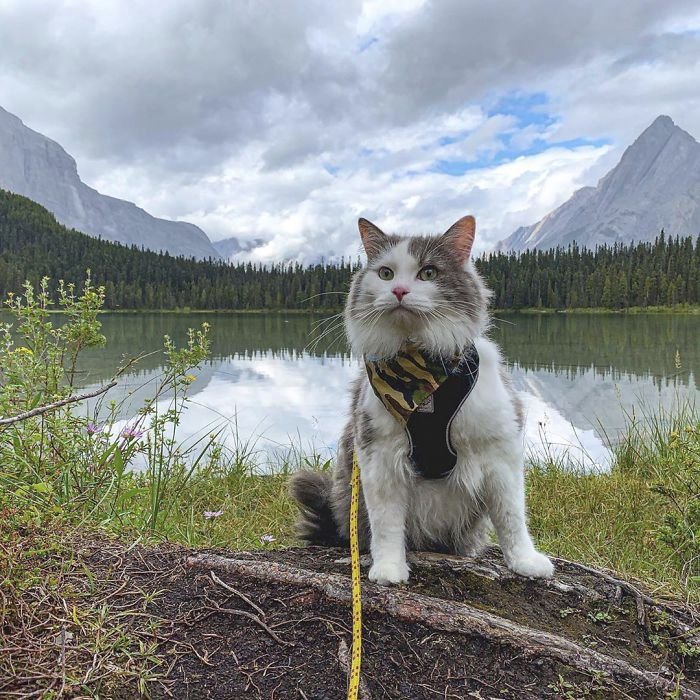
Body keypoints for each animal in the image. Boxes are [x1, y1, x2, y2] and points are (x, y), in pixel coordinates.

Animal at [290, 215, 552, 584]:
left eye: (428, 273)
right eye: (386, 273)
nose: (399, 291)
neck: (421, 375)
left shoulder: (500, 451)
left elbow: (512, 516)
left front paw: (526, 562)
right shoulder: (379, 455)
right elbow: (386, 524)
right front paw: (389, 569)